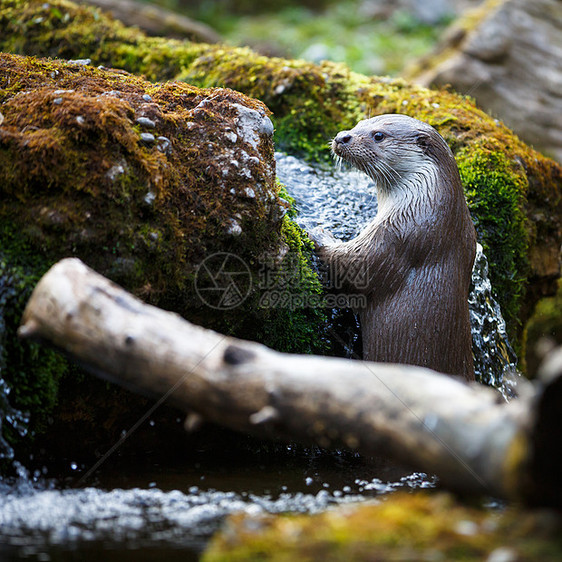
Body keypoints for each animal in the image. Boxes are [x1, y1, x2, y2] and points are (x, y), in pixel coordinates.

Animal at [312, 114, 474, 378]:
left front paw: (319, 234)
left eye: (379, 135)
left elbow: (354, 265)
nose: (342, 136)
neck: (429, 205)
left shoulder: (398, 234)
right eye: (359, 123)